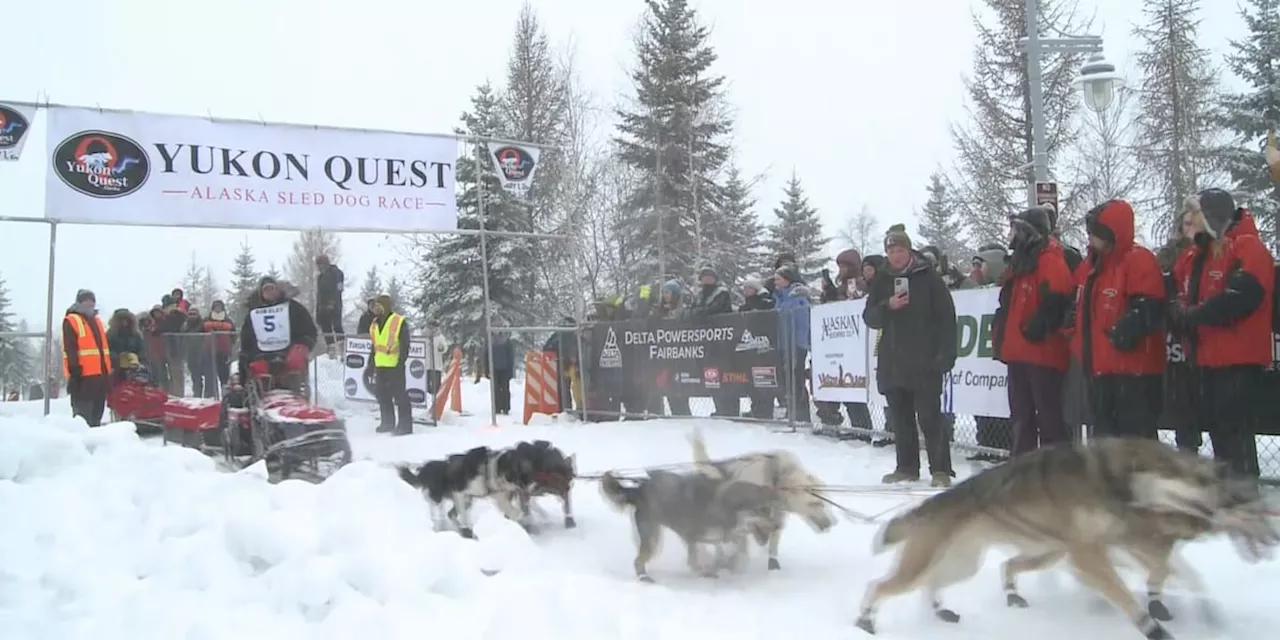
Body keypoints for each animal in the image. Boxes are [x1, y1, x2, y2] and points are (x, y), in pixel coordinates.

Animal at [399, 440, 581, 535]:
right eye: (538, 468)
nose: (569, 481)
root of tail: (432, 466)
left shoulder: (511, 493)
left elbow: (527, 507)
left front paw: (540, 515)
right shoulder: (495, 496)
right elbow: (518, 512)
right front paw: (525, 520)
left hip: (467, 500)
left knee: (451, 514)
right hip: (443, 496)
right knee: (437, 509)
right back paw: (441, 526)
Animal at [596, 468, 778, 583]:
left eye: (769, 510)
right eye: (761, 510)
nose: (778, 526)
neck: (724, 507)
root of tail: (639, 489)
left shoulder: (721, 538)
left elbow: (725, 552)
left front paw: (723, 566)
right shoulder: (692, 537)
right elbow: (695, 560)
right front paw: (706, 572)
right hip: (654, 539)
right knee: (638, 561)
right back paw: (644, 578)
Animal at [691, 430, 839, 570]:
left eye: (825, 503)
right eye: (815, 503)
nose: (832, 523)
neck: (775, 481)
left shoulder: (775, 520)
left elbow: (772, 542)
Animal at [855, 437, 1274, 640]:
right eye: (1198, 482)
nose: (1273, 539)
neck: (1114, 481)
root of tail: (931, 505)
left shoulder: (1113, 546)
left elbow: (1171, 574)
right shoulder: (1089, 553)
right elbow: (1136, 593)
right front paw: (1153, 627)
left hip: (969, 563)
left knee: (938, 582)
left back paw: (942, 608)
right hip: (934, 563)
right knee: (879, 585)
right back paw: (865, 619)